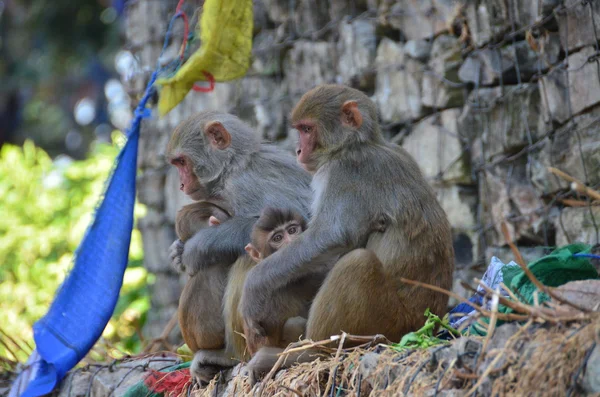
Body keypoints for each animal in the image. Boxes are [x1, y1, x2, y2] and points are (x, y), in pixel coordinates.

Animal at [166, 110, 312, 380]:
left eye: (181, 162)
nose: (180, 184)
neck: (234, 166)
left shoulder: (245, 186)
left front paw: (195, 247)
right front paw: (177, 252)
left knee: (244, 261)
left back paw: (229, 355)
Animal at [239, 84, 454, 378]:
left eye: (307, 129)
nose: (297, 150)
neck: (359, 144)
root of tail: (428, 327)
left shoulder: (343, 172)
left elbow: (331, 236)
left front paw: (253, 289)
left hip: (390, 323)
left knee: (357, 264)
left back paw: (309, 353)